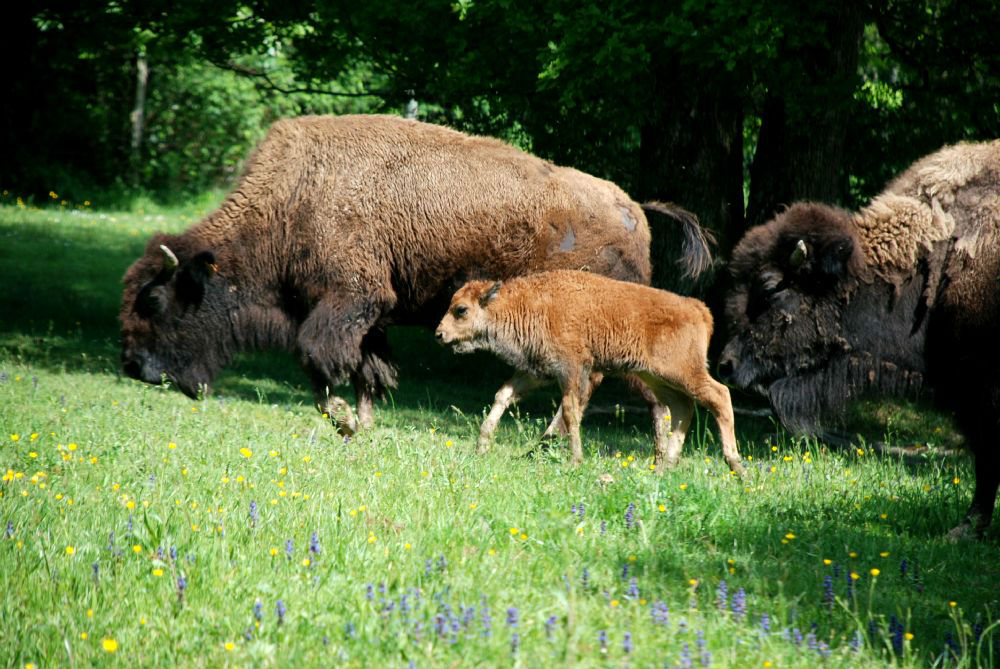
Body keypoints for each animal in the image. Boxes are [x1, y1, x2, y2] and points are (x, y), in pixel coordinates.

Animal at [119, 115, 712, 436]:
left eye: (153, 302)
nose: (134, 368)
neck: (296, 197)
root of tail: (631, 207)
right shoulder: (368, 318)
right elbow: (365, 371)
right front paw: (362, 424)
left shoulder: (347, 302)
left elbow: (318, 361)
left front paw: (344, 420)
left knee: (615, 384)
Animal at [434, 268, 748, 472]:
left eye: (461, 310)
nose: (439, 334)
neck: (530, 303)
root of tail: (697, 308)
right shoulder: (537, 372)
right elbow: (503, 395)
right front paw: (482, 445)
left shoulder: (572, 371)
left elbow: (570, 411)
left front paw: (575, 460)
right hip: (657, 377)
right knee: (682, 408)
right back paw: (665, 467)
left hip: (683, 373)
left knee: (719, 395)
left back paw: (735, 465)